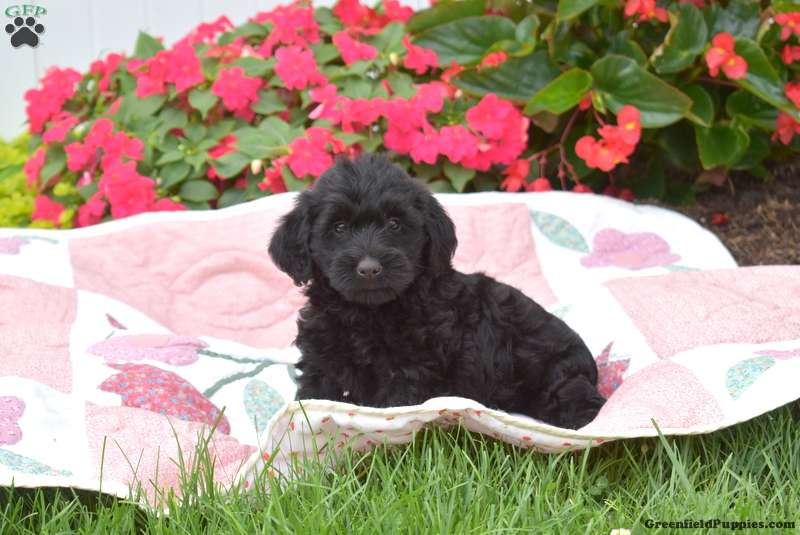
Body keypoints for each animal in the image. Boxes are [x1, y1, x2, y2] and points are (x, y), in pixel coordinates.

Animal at [270, 153, 608, 430]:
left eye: (394, 224)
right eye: (338, 227)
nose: (369, 268)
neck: (367, 313)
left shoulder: (409, 370)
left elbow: (392, 409)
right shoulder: (321, 361)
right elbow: (311, 398)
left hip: (554, 376)